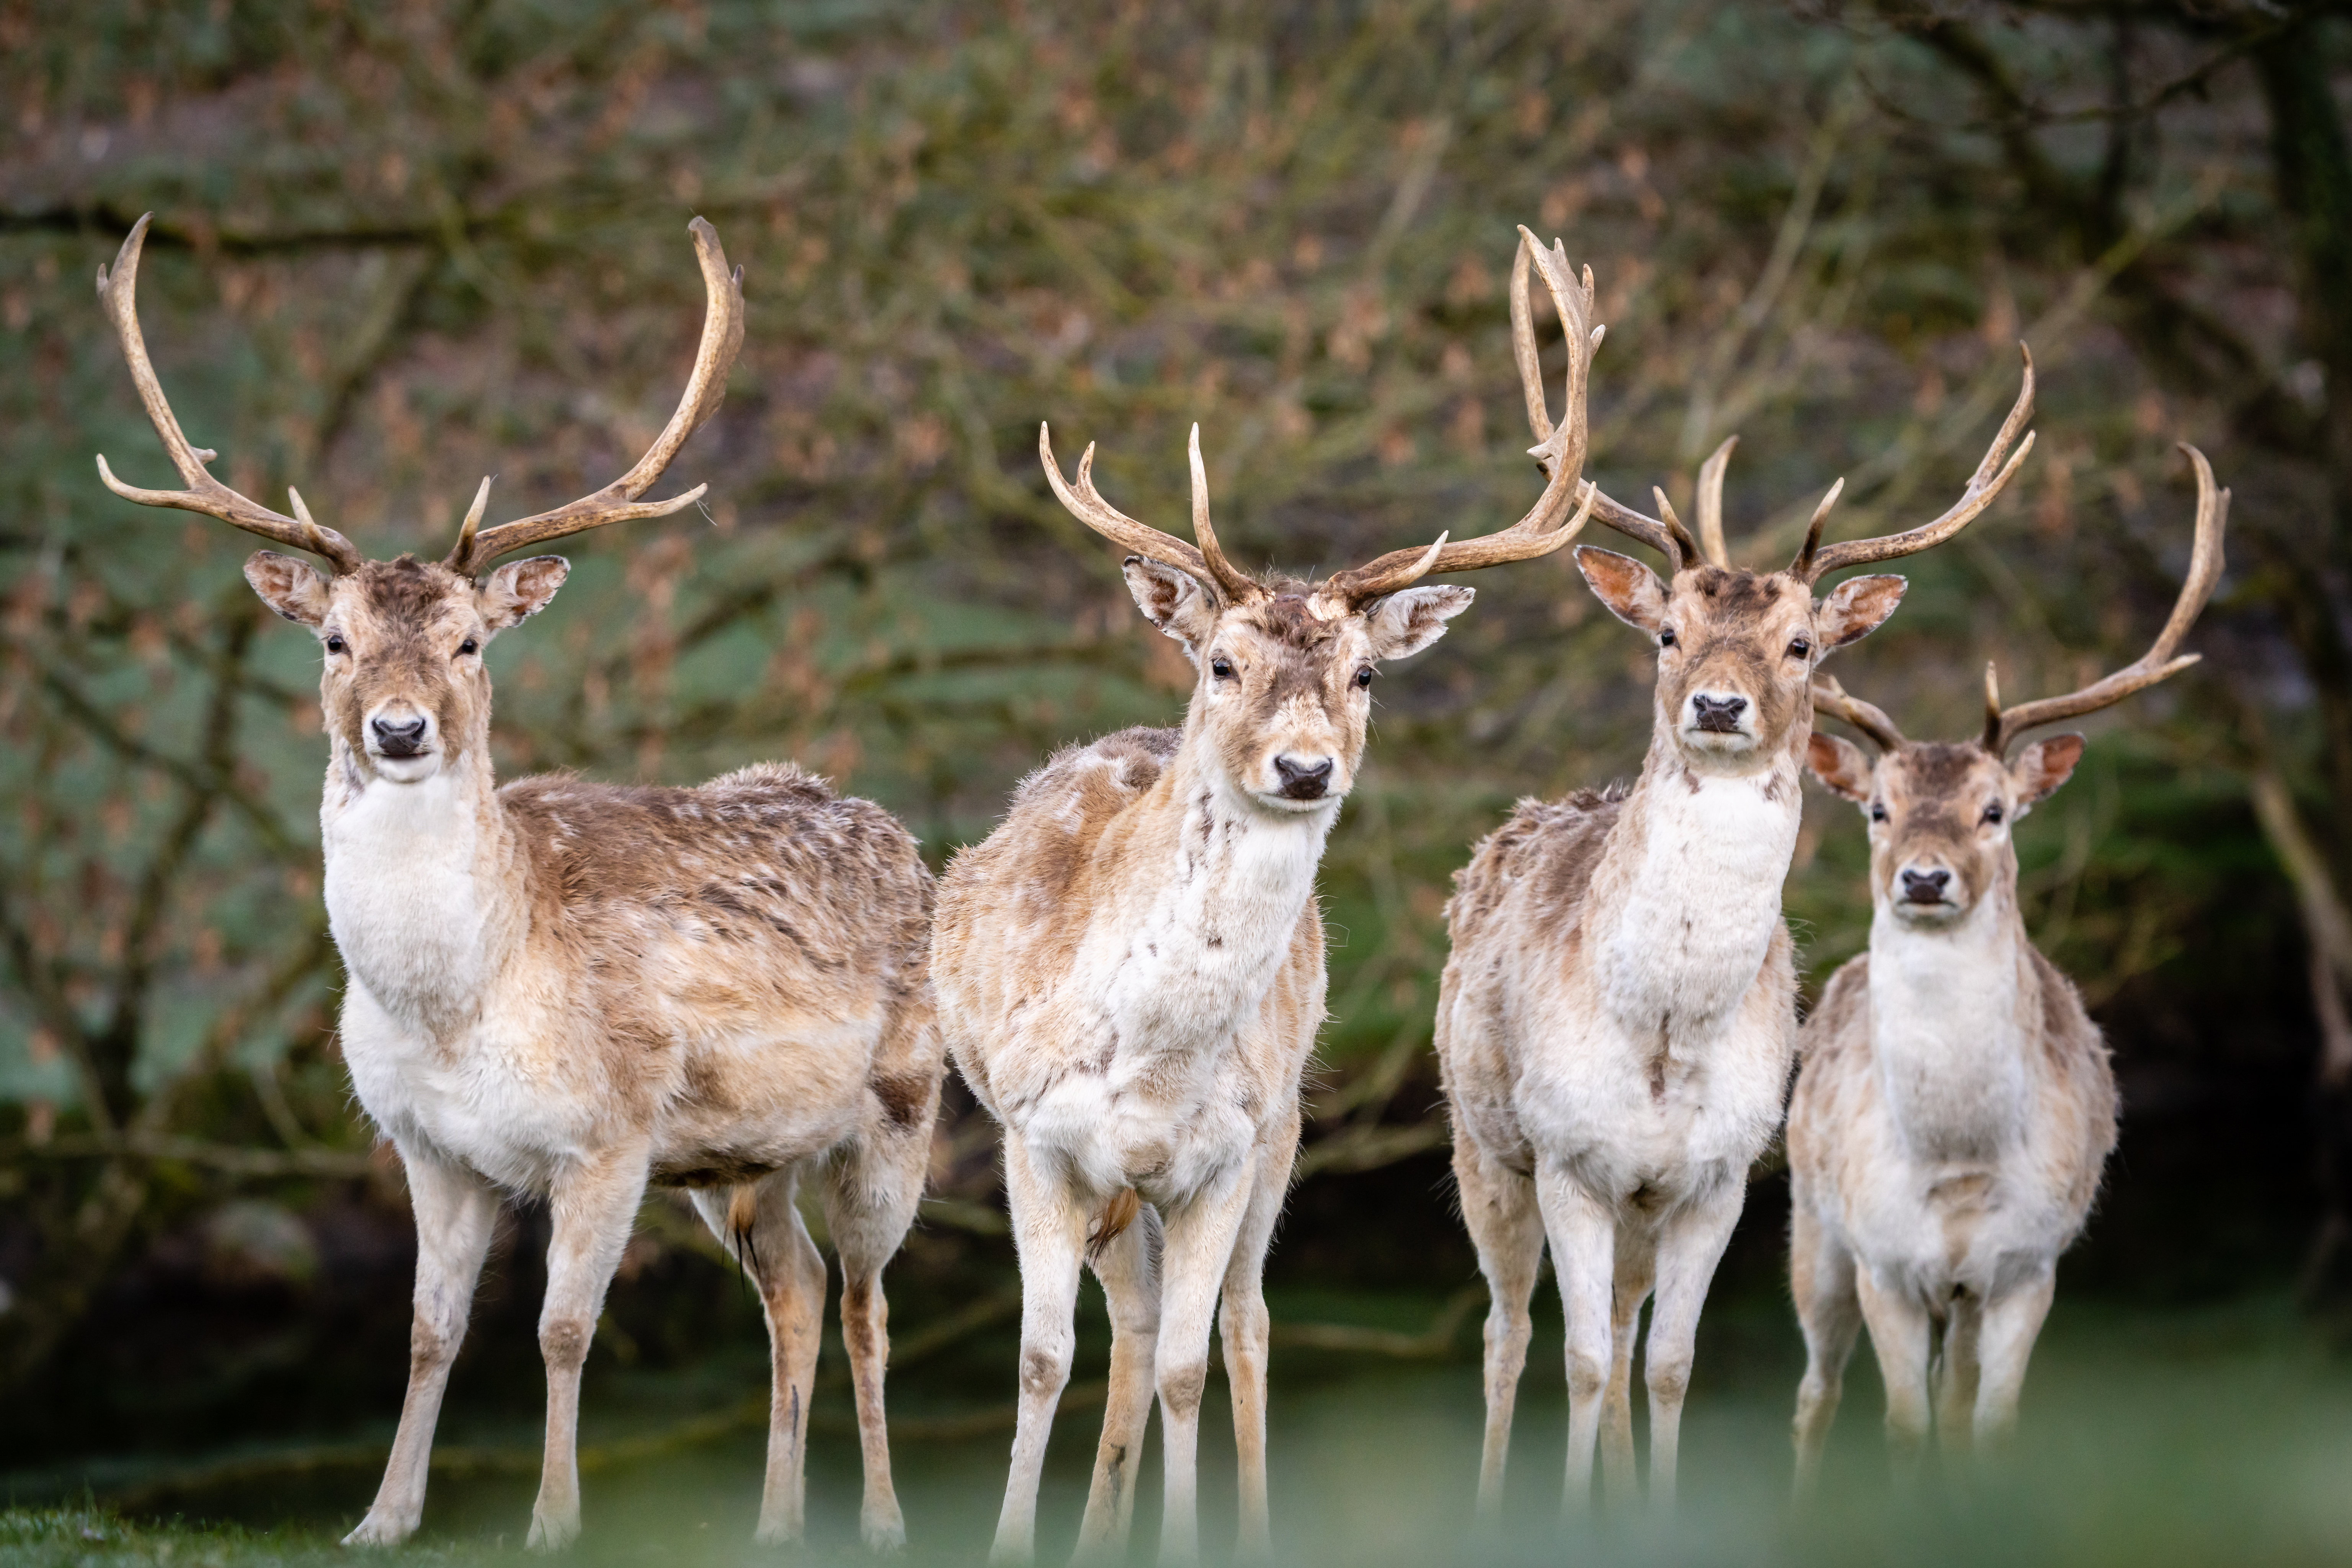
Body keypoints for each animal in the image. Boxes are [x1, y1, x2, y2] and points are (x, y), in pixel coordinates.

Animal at [94, 215, 936, 1552]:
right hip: (739, 1160)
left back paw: (887, 1524)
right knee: (797, 1292)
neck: (458, 1000)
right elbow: (432, 1330)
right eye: (333, 639)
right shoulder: (430, 1148)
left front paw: (552, 1520)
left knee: (866, 1303)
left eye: (469, 641)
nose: (396, 729)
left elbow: (562, 1329)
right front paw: (381, 1519)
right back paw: (772, 1525)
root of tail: (896, 829)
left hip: (900, 1110)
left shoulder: (612, 1133)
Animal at [936, 329, 1599, 1561]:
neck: (1149, 1056)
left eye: (1364, 674)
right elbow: (1042, 1358)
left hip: (1284, 1129)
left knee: (1232, 1325)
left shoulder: (1222, 1154)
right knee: (1130, 1326)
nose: (1303, 766)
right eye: (1223, 664)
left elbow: (1192, 1367)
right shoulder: (1031, 1136)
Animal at [1430, 227, 2041, 1523]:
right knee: (1510, 1333)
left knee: (1620, 1327)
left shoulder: (1715, 1176)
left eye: (1801, 644)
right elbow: (1576, 1357)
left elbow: (1665, 1363)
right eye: (1667, 634)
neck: (1664, 1026)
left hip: (1639, 1202)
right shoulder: (1569, 1155)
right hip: (1480, 1140)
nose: (1717, 705)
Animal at [1787, 444, 2230, 1495]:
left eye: (1994, 810)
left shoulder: (2030, 1264)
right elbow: (1902, 1428)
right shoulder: (1884, 1260)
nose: (1922, 876)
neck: (1958, 1163)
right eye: (1876, 807)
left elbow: (1985, 1430)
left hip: (1963, 1293)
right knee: (1814, 1391)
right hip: (1809, 1226)